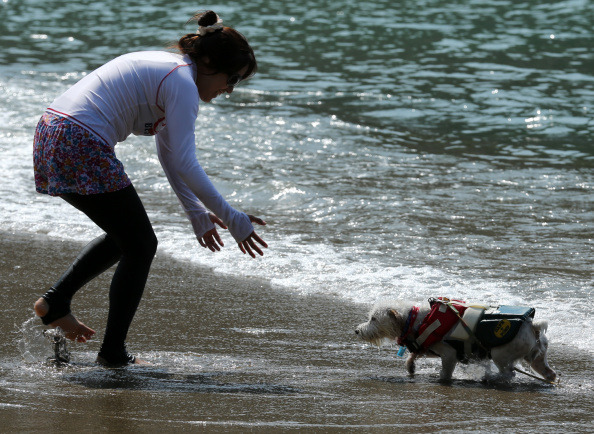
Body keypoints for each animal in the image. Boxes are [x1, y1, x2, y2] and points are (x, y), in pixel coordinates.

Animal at [356, 300, 556, 382]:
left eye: (374, 319)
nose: (357, 330)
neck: (413, 320)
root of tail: (532, 325)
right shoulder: (429, 348)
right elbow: (414, 355)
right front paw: (410, 365)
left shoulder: (449, 354)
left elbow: (445, 372)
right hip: (537, 358)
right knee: (550, 373)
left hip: (500, 354)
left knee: (509, 374)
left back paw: (489, 377)